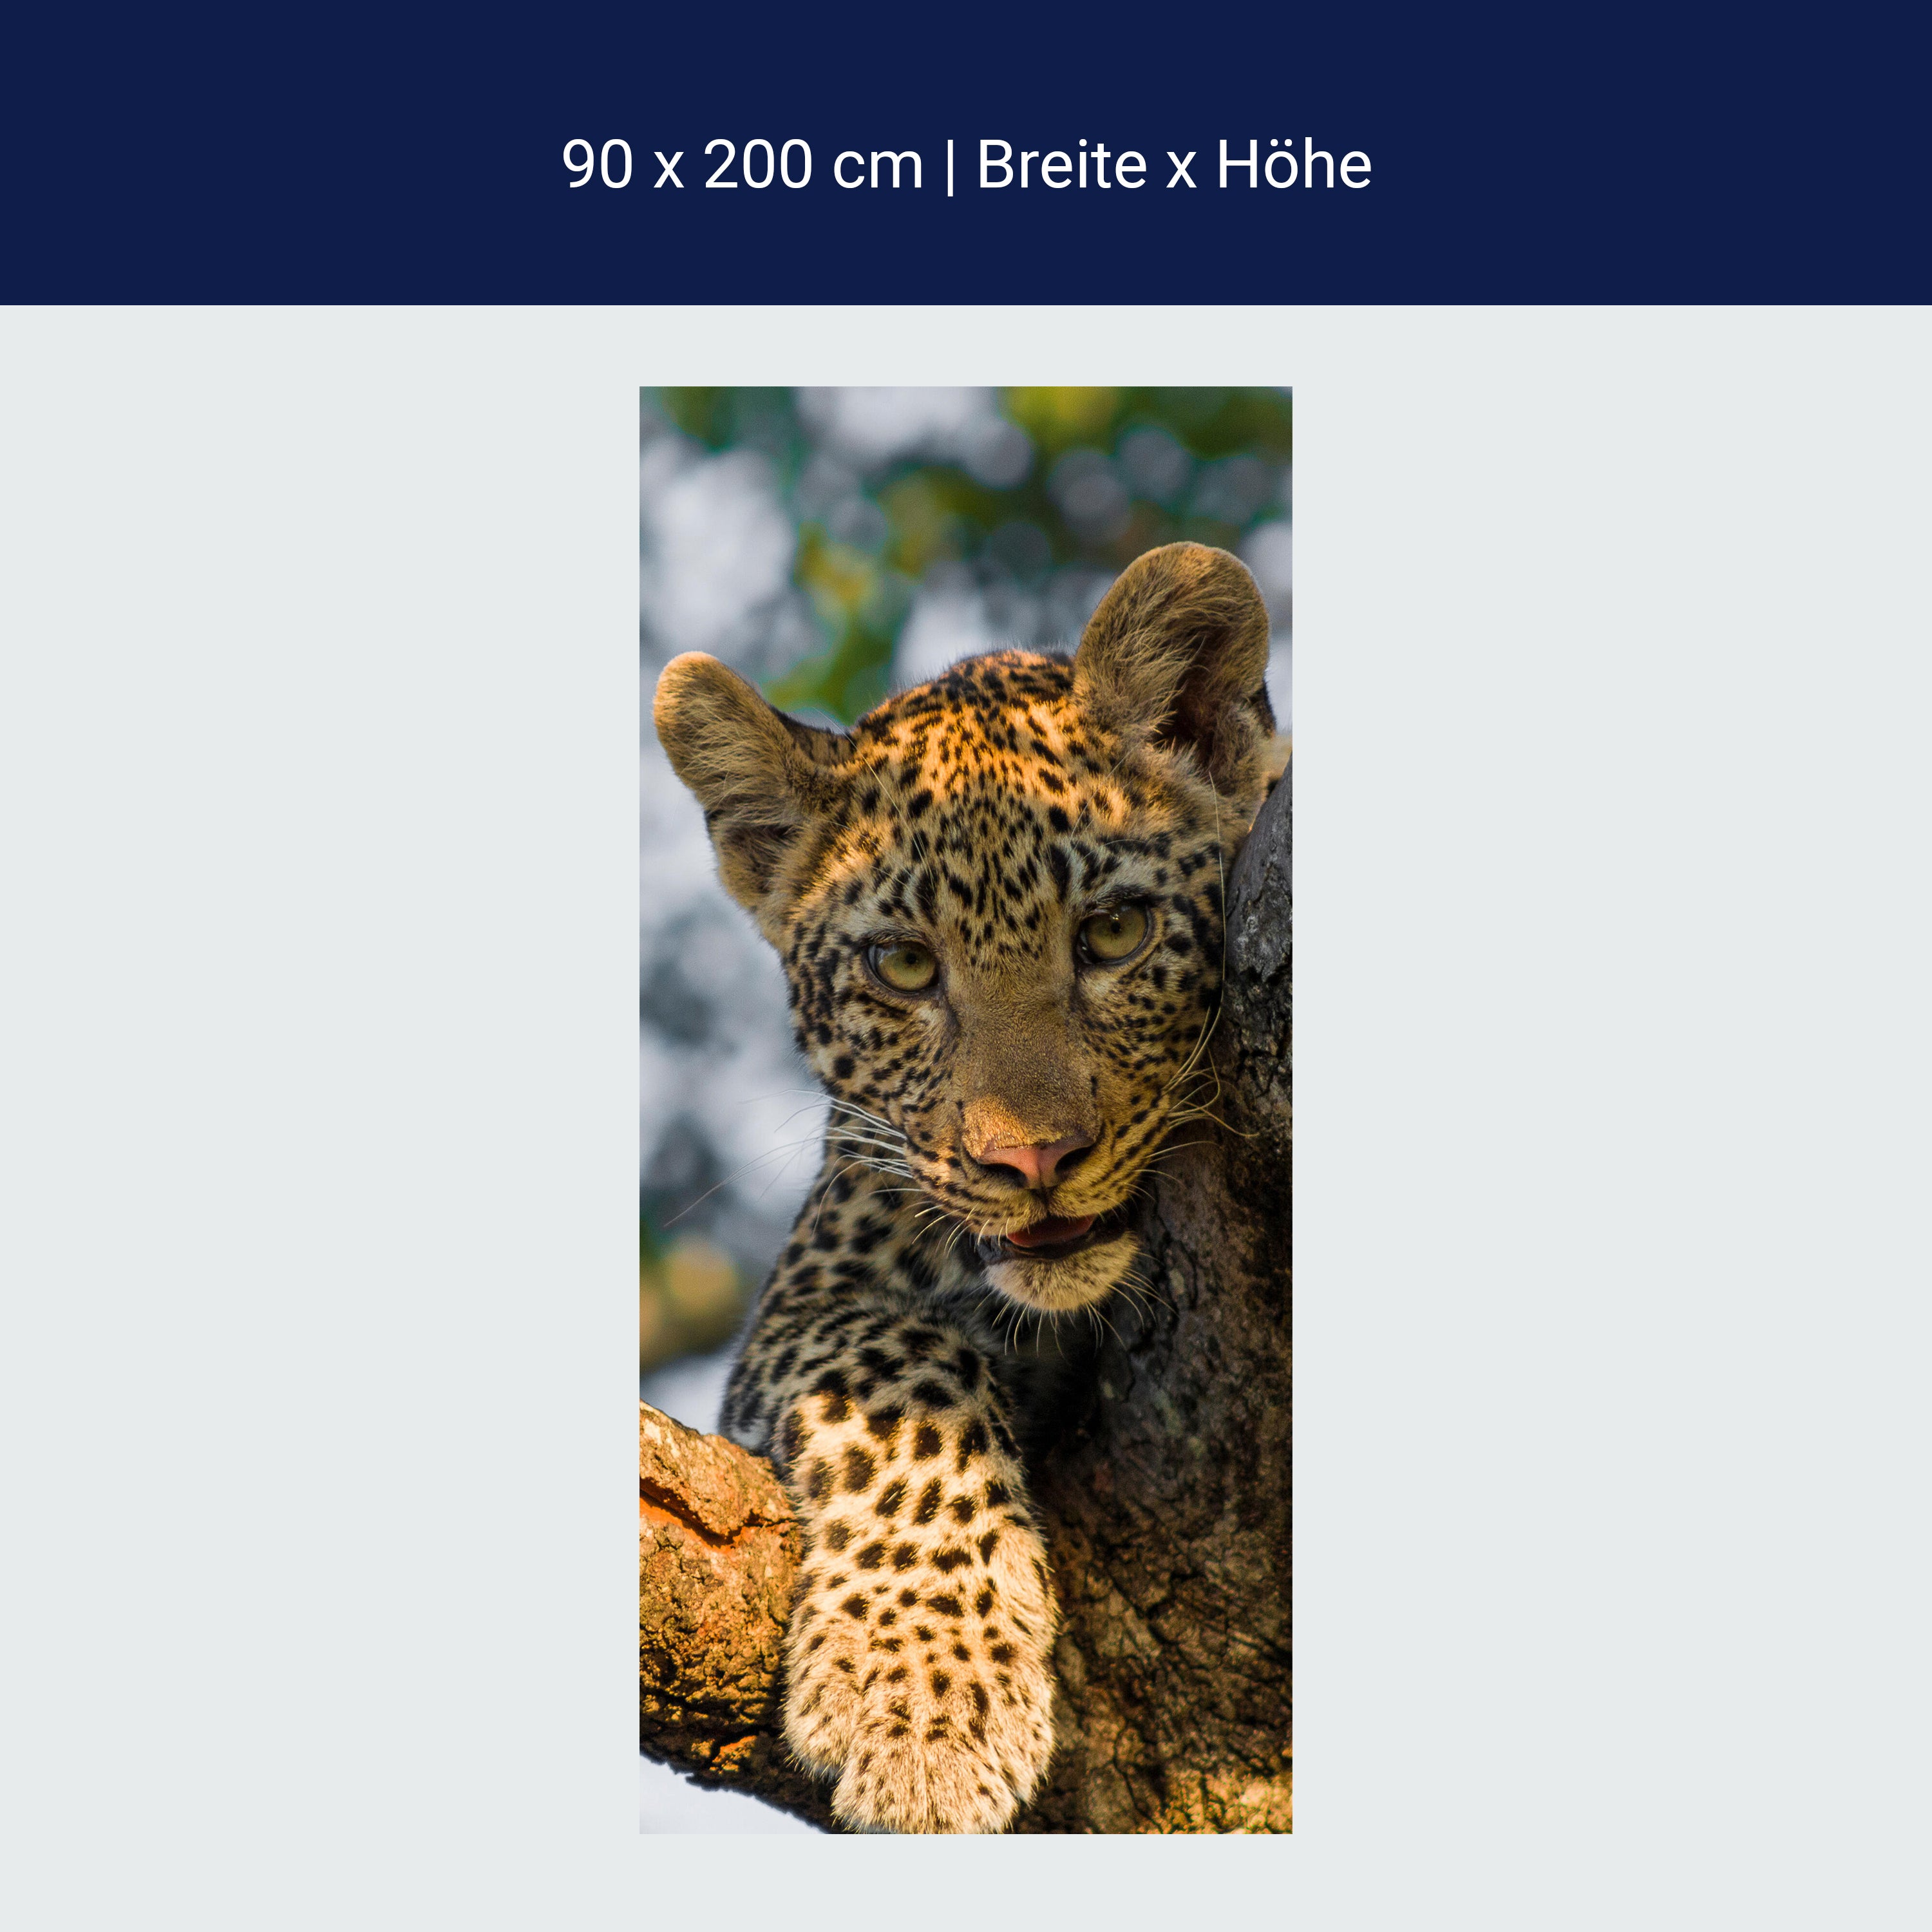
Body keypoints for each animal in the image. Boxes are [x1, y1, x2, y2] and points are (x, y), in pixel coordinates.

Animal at [652, 541, 1280, 1833]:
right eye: (903, 967)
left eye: (1116, 933)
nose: (1031, 1161)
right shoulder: (808, 1294)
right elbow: (904, 1370)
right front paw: (925, 1704)